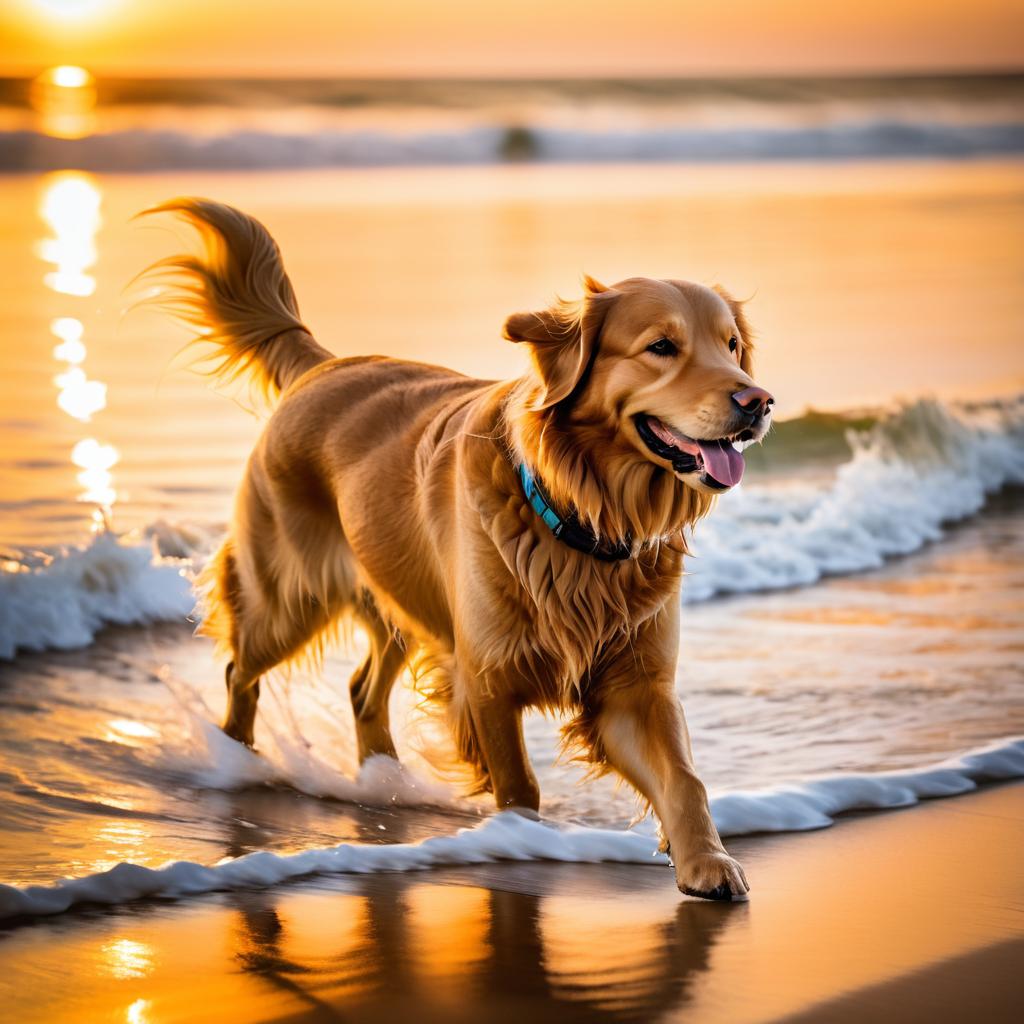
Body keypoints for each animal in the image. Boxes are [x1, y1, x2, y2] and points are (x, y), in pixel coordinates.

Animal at [144, 197, 770, 897]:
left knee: (361, 690)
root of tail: (324, 365)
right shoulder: (487, 679)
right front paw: (524, 840)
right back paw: (237, 761)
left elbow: (684, 779)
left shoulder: (637, 685)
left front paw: (706, 862)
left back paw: (383, 781)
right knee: (241, 671)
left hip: (399, 594)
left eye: (732, 346)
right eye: (661, 347)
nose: (758, 401)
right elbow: (519, 786)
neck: (583, 515)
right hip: (288, 598)